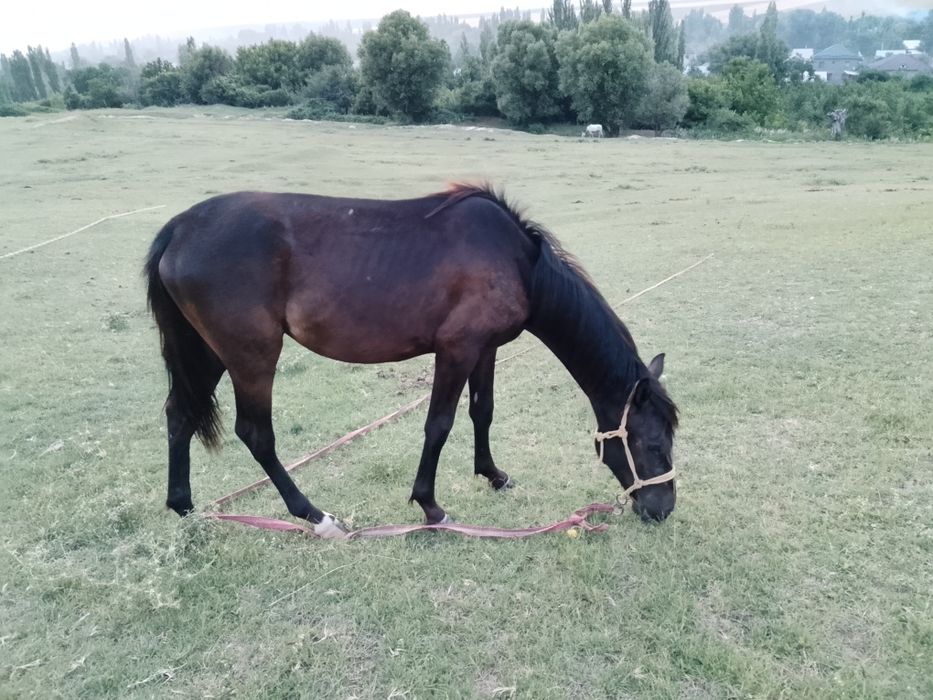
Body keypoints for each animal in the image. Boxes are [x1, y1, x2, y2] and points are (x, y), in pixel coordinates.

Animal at [145, 184, 678, 534]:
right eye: (652, 444)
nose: (662, 508)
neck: (518, 263)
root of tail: (179, 228)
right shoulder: (456, 350)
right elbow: (438, 425)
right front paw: (430, 507)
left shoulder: (484, 348)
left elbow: (482, 412)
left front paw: (493, 475)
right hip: (251, 355)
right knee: (256, 433)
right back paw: (313, 515)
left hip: (207, 351)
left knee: (179, 414)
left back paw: (185, 507)